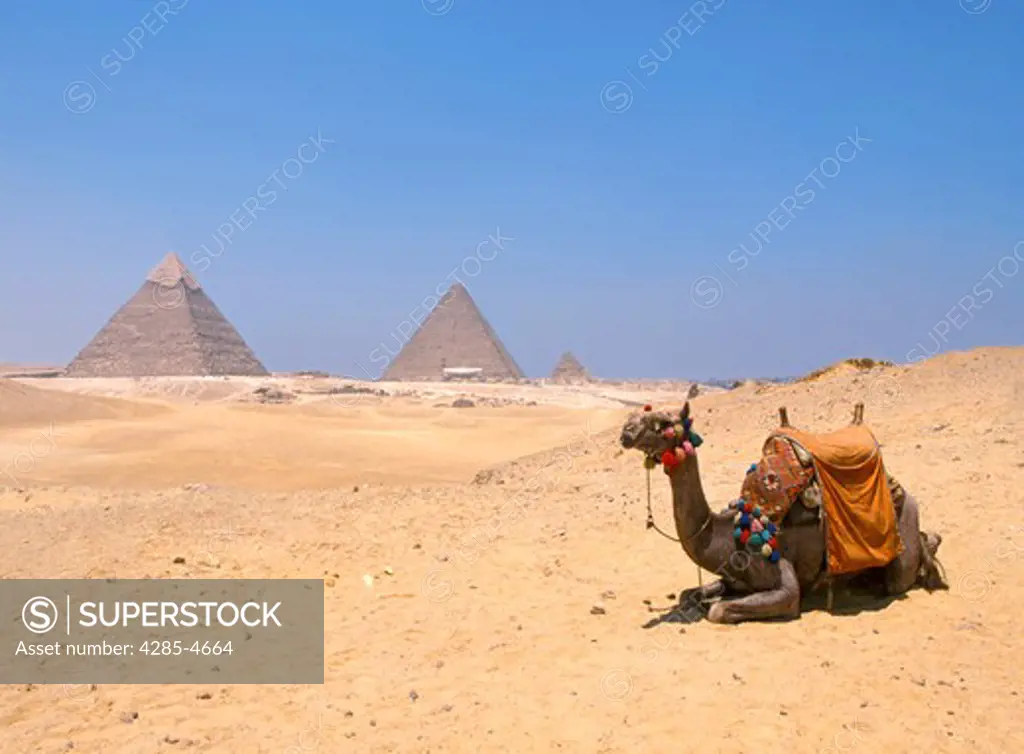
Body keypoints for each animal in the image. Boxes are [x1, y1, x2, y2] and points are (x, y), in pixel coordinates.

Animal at [614, 401, 942, 622]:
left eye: (662, 424)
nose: (626, 431)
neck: (724, 534)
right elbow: (690, 594)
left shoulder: (782, 578)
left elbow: (720, 610)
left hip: (904, 525)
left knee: (900, 575)